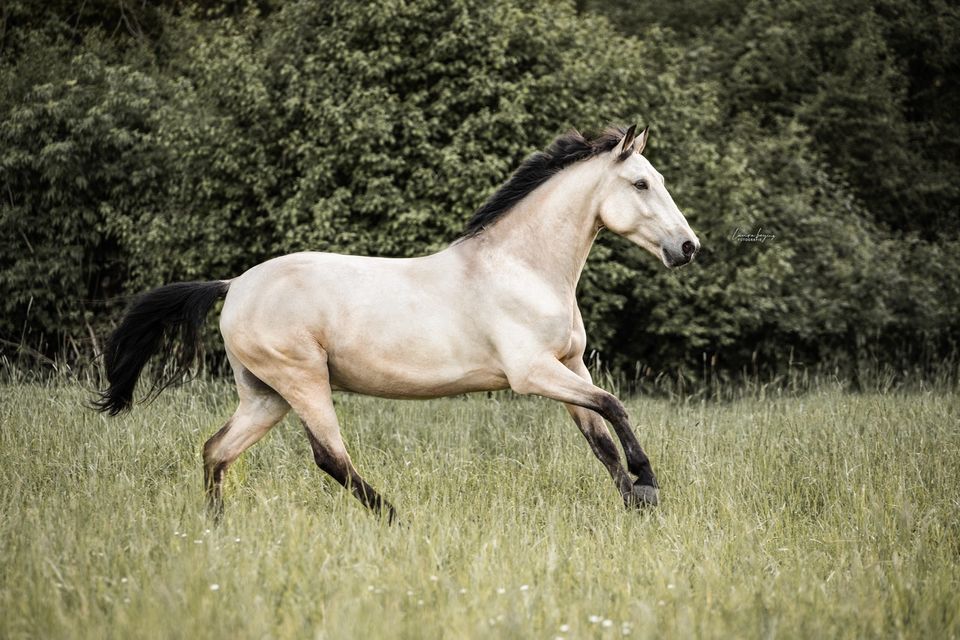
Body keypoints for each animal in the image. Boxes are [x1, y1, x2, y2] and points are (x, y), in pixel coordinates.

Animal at [95, 122, 696, 524]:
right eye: (641, 184)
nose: (688, 247)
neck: (520, 267)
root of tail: (235, 285)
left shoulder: (569, 364)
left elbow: (601, 438)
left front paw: (636, 502)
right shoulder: (533, 373)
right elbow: (615, 407)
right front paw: (647, 484)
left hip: (265, 395)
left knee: (216, 451)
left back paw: (217, 528)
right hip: (301, 379)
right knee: (329, 456)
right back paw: (395, 518)